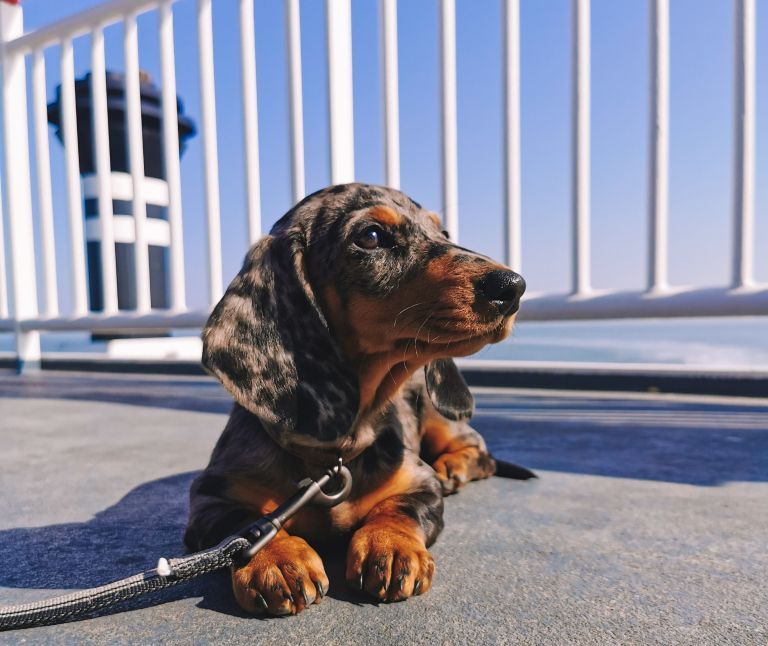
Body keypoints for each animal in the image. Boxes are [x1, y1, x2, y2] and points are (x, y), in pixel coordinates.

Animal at [184, 184, 528, 616]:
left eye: (444, 232)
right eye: (371, 236)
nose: (512, 287)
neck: (333, 457)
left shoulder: (420, 483)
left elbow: (399, 508)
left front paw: (391, 546)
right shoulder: (210, 498)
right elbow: (246, 527)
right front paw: (277, 558)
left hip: (440, 417)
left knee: (479, 452)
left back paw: (454, 467)